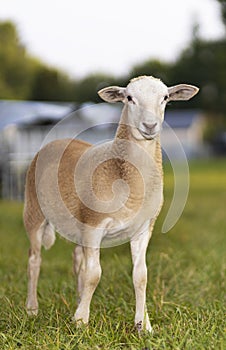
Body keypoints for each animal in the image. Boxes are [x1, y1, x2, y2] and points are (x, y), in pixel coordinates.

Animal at [23, 75, 199, 332]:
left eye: (165, 97)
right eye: (129, 98)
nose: (150, 126)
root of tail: (58, 140)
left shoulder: (142, 229)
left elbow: (140, 275)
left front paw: (144, 325)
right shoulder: (94, 225)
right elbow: (94, 274)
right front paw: (81, 322)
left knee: (77, 260)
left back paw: (78, 300)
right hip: (34, 211)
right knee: (35, 260)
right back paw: (32, 309)